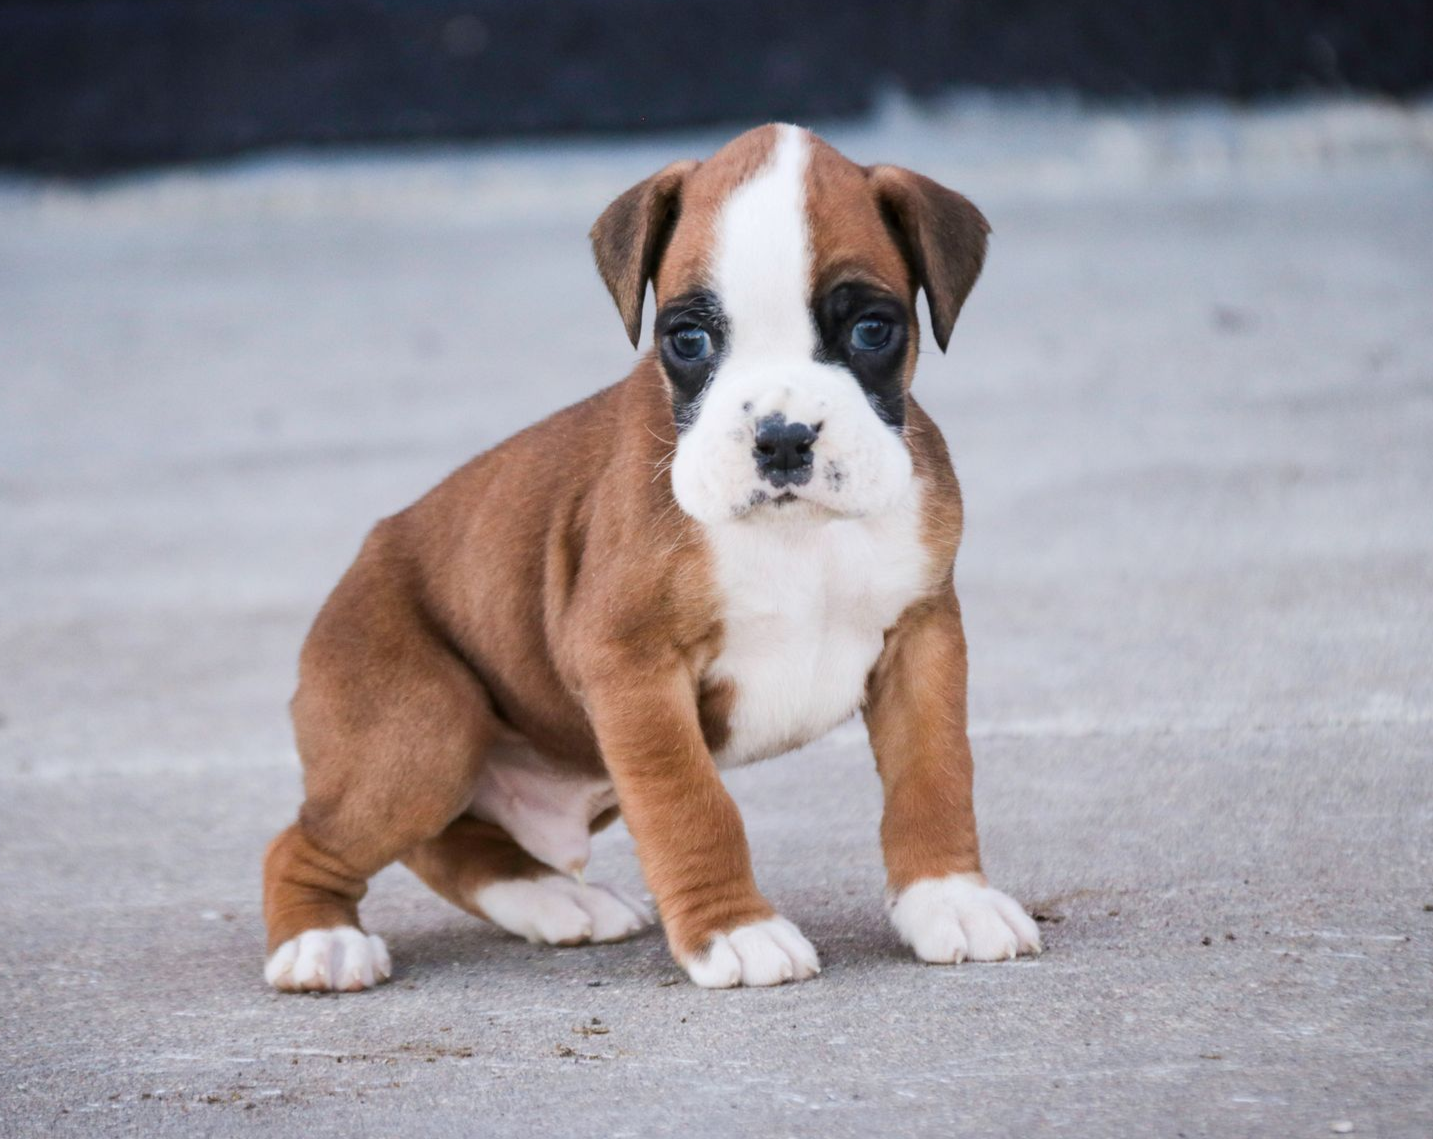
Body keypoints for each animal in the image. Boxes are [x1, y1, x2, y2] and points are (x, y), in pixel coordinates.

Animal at [262, 123, 1041, 992]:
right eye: (687, 339)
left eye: (872, 330)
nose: (781, 437)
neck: (797, 535)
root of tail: (356, 564)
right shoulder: (633, 669)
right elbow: (690, 804)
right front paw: (734, 929)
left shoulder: (921, 638)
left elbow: (933, 772)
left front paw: (950, 898)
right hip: (420, 735)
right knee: (304, 842)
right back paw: (320, 939)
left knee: (452, 843)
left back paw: (550, 898)